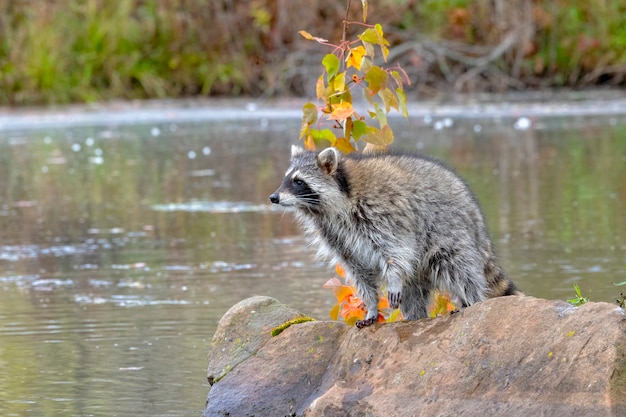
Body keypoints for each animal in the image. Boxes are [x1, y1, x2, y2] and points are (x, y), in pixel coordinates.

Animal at [268, 145, 516, 326]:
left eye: (298, 181)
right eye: (286, 179)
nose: (273, 197)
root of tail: (476, 216)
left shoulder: (382, 213)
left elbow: (396, 251)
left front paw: (393, 279)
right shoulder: (336, 236)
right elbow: (359, 272)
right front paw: (371, 306)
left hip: (450, 232)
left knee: (459, 270)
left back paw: (472, 301)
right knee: (413, 292)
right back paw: (416, 317)